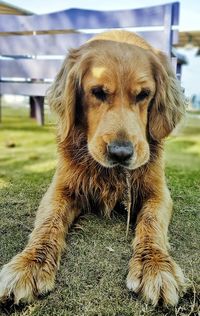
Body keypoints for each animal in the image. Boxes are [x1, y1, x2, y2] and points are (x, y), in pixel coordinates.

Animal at [0, 30, 186, 306]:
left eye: (143, 94)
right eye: (97, 92)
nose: (121, 153)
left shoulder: (158, 193)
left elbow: (151, 222)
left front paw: (154, 265)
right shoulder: (60, 189)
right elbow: (48, 223)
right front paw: (30, 263)